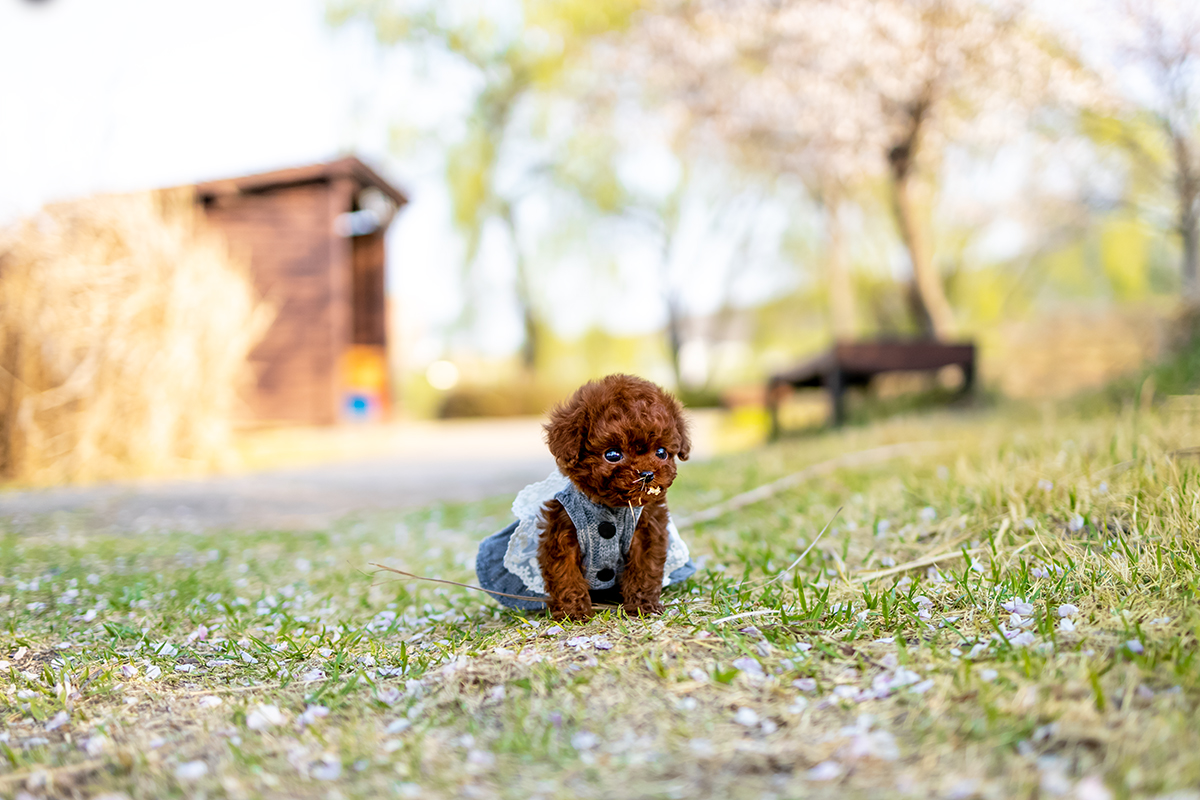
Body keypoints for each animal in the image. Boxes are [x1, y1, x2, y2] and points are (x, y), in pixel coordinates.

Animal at [537, 374, 691, 618]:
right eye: (612, 455)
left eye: (661, 453)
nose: (647, 474)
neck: (612, 507)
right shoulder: (562, 535)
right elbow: (565, 575)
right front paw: (573, 611)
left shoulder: (647, 535)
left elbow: (644, 571)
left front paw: (642, 606)